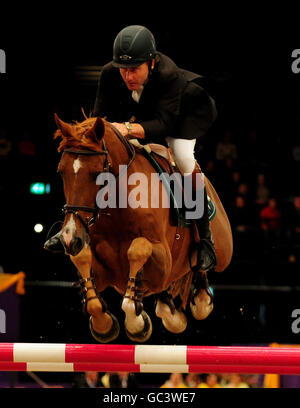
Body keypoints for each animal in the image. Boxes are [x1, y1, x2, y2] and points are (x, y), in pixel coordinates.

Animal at [45, 114, 232, 342]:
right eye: (61, 172)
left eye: (97, 174)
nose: (70, 238)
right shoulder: (104, 267)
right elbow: (82, 261)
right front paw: (104, 325)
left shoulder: (163, 258)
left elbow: (138, 248)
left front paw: (136, 323)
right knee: (165, 296)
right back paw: (172, 313)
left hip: (223, 251)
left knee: (202, 267)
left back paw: (202, 292)